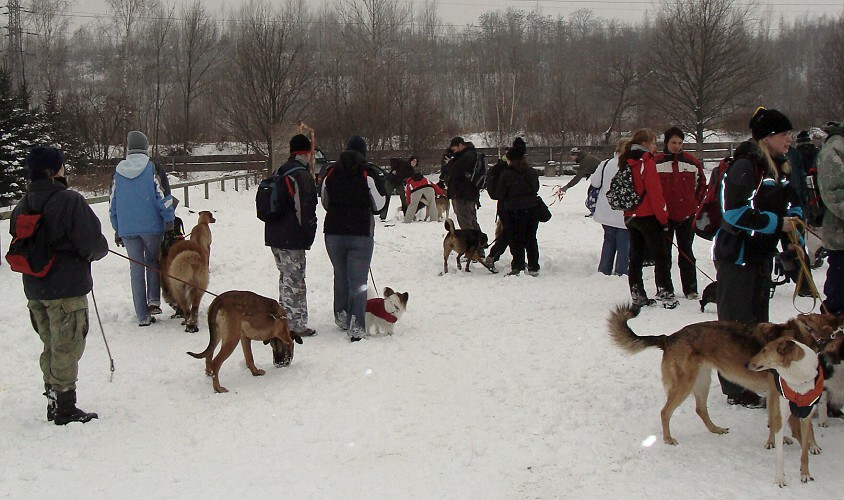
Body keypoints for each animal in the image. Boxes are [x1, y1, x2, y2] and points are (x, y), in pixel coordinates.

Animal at [608, 302, 840, 448]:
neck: (807, 334)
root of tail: (669, 337)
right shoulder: (776, 392)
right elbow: (776, 420)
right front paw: (778, 442)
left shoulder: (776, 393)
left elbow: (775, 419)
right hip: (684, 385)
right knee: (665, 412)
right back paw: (668, 438)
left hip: (702, 380)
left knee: (700, 409)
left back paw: (715, 429)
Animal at [748, 338, 820, 486]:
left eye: (764, 350)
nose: (746, 364)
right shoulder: (781, 415)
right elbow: (780, 455)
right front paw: (780, 479)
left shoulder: (806, 415)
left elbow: (804, 452)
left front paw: (805, 474)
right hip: (772, 400)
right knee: (772, 422)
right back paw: (771, 441)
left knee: (809, 429)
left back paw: (813, 445)